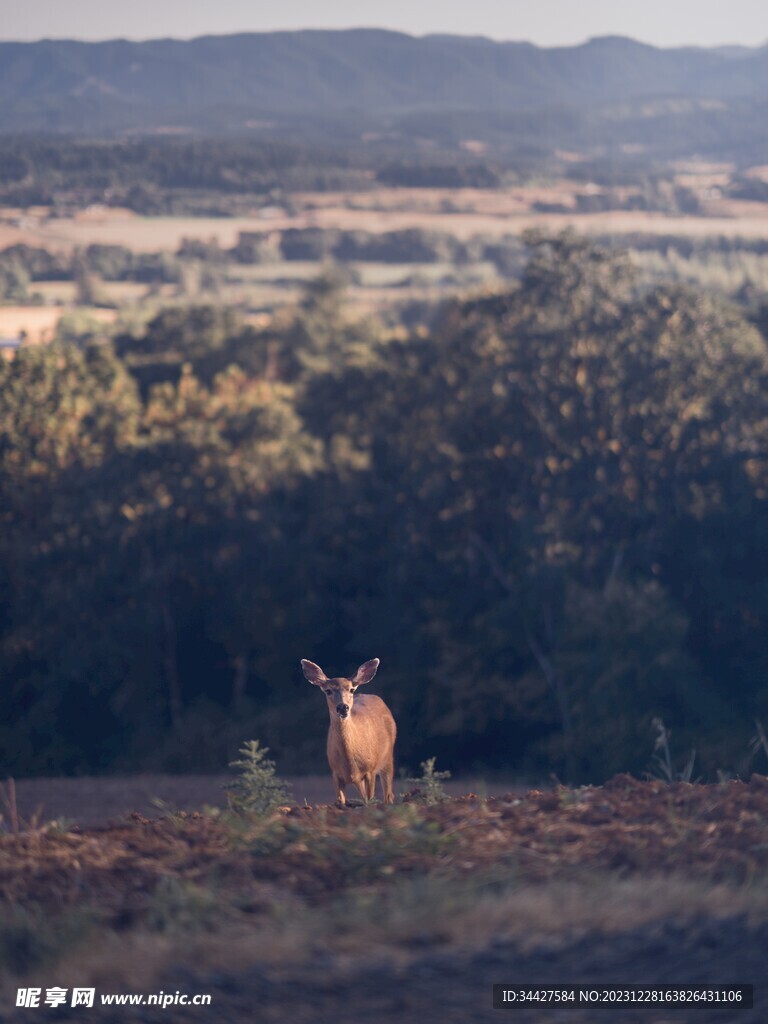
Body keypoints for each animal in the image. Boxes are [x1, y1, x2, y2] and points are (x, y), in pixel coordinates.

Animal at [301, 657, 396, 806]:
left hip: (387, 758)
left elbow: (370, 800)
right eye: (328, 691)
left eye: (351, 690)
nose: (342, 707)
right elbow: (342, 802)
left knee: (389, 795)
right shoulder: (335, 773)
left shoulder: (370, 769)